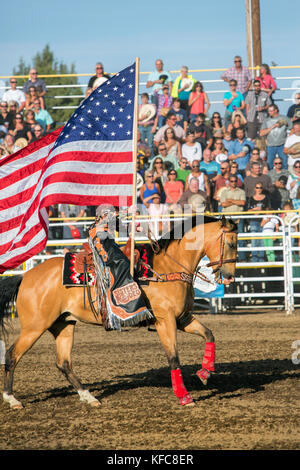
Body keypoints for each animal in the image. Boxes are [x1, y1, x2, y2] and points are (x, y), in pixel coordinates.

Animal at [0, 214, 237, 408]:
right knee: (12, 355)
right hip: (34, 327)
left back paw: (89, 397)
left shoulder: (182, 318)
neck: (169, 268)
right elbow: (173, 358)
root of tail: (25, 277)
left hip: (64, 324)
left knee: (63, 363)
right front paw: (184, 397)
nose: (229, 277)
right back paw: (12, 399)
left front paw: (205, 372)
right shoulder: (165, 321)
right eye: (231, 243)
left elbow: (209, 334)